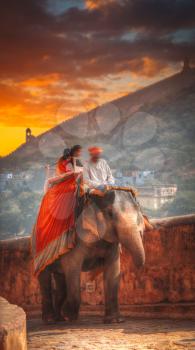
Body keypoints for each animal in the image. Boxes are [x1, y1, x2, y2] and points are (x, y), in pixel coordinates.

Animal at [38, 190, 145, 324]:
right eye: (110, 213)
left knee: (60, 281)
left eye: (138, 209)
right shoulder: (76, 239)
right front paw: (69, 315)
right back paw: (51, 319)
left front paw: (115, 321)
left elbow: (113, 272)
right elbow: (72, 268)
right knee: (45, 278)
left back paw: (59, 319)